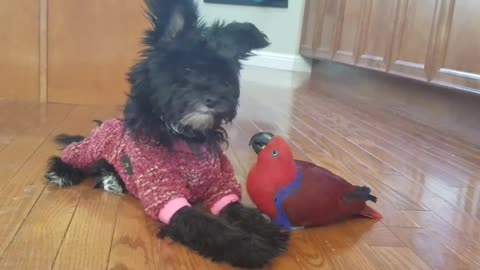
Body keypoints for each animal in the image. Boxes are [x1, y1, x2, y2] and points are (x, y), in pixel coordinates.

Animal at [47, 0, 290, 268]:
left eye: (223, 75)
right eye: (187, 68)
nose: (215, 99)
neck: (186, 137)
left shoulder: (219, 186)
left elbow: (237, 209)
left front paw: (268, 230)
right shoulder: (166, 194)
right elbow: (208, 225)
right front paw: (249, 248)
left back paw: (114, 180)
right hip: (91, 148)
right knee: (72, 155)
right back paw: (63, 172)